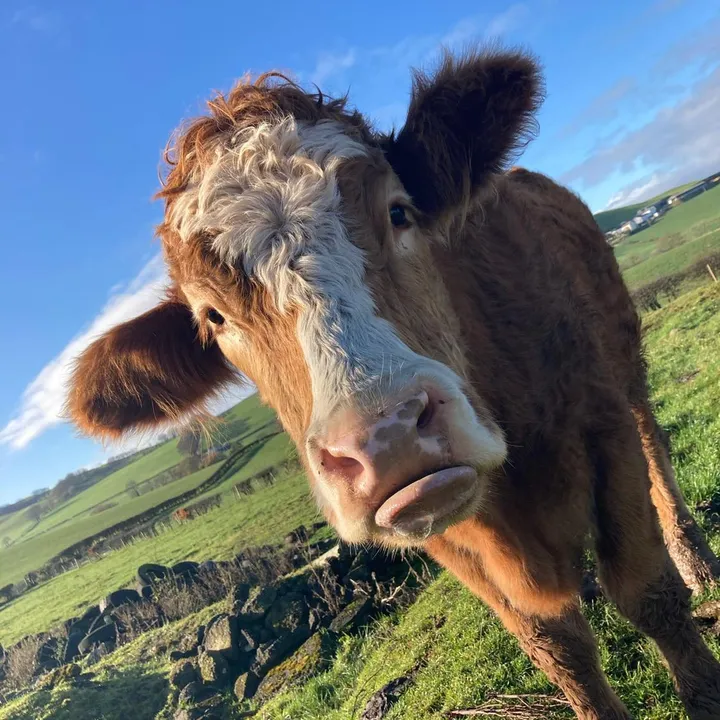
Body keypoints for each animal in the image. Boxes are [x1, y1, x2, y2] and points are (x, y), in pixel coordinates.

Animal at [65, 47, 720, 718]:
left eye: (399, 211)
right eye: (213, 317)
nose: (386, 437)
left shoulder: (602, 426)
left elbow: (650, 593)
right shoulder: (450, 542)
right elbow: (556, 646)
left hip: (625, 358)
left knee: (656, 450)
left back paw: (697, 562)